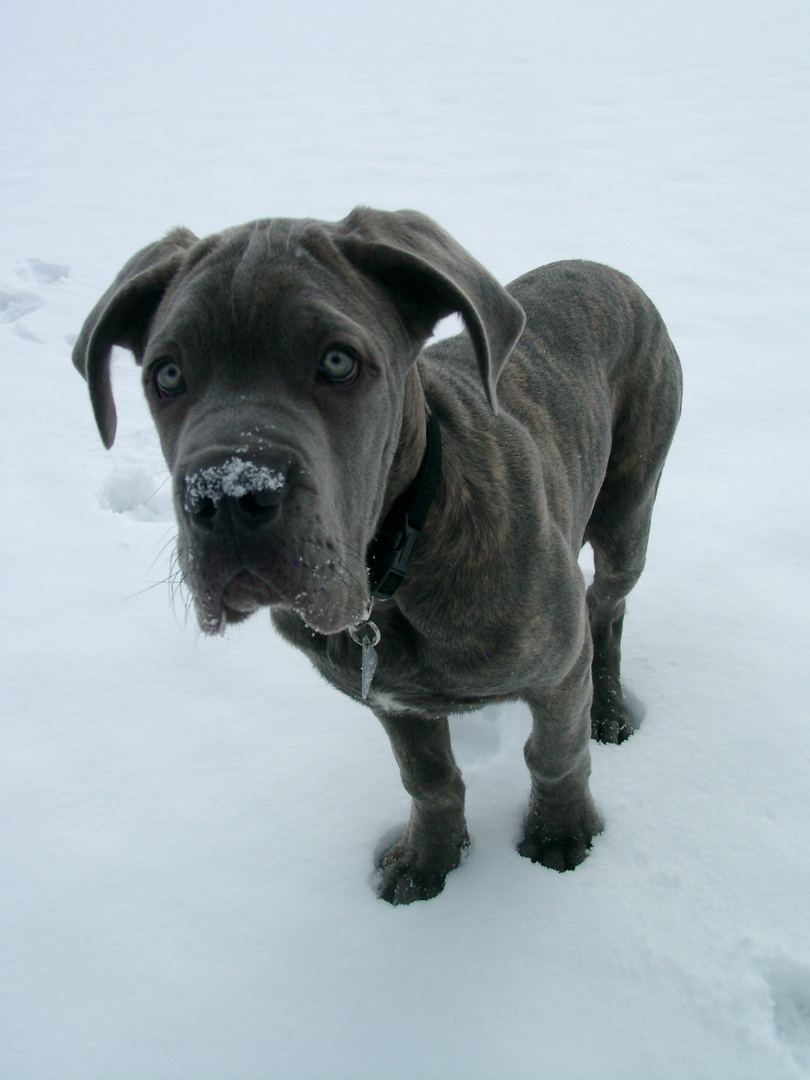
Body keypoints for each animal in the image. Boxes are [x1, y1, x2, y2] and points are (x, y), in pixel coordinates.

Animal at [74, 208, 686, 902]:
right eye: (167, 375)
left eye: (339, 361)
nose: (227, 496)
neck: (396, 570)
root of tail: (606, 269)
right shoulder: (390, 701)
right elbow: (429, 779)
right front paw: (427, 860)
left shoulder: (557, 667)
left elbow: (555, 754)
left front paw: (560, 834)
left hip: (629, 513)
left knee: (605, 607)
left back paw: (608, 710)